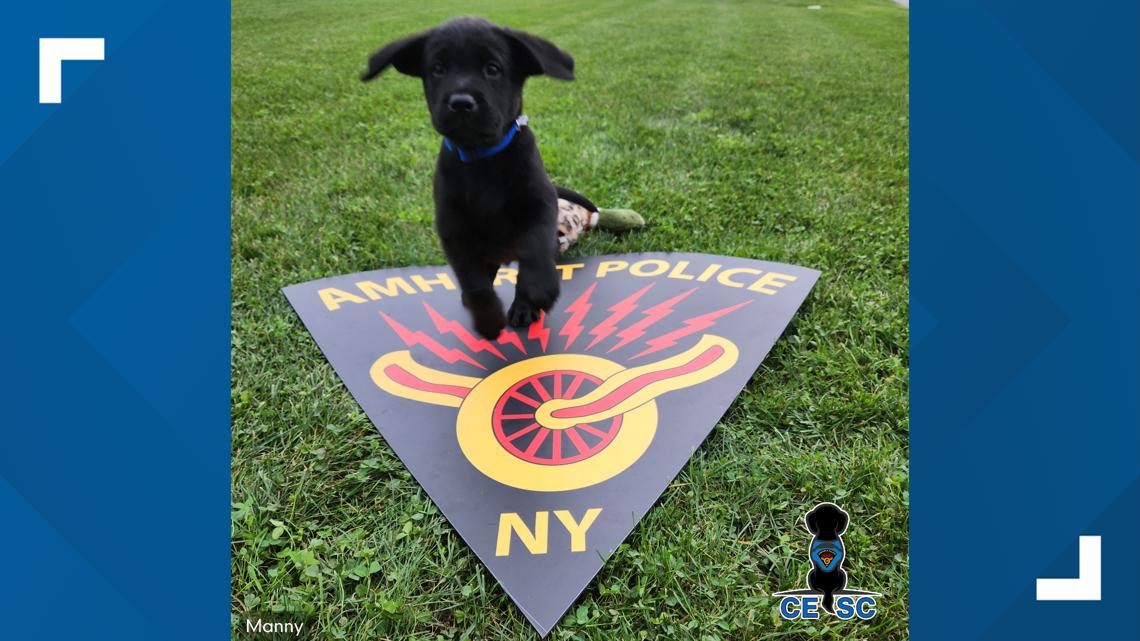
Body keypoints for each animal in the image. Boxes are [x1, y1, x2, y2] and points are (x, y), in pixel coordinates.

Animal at [362, 17, 583, 339]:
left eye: (493, 68)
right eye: (437, 68)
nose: (461, 102)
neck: (483, 160)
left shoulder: (540, 203)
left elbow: (535, 251)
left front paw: (538, 292)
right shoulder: (453, 228)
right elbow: (474, 282)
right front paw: (487, 319)